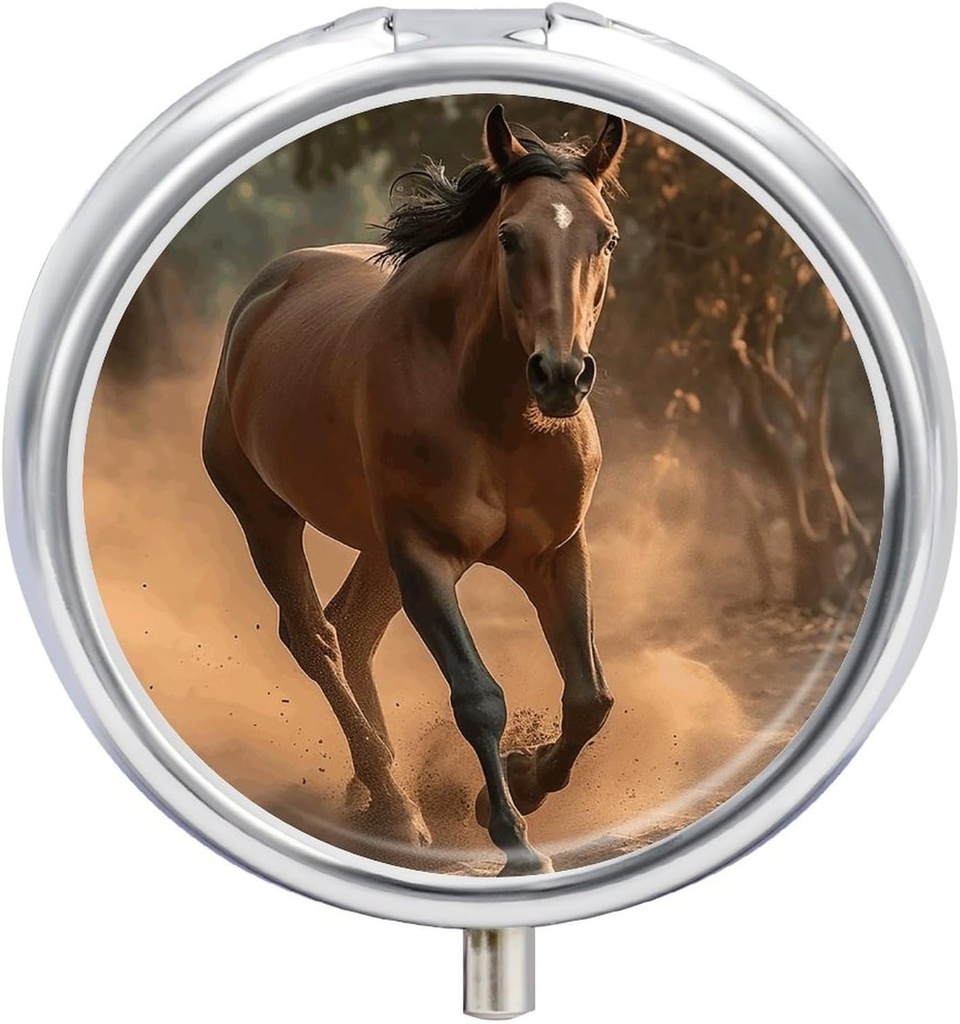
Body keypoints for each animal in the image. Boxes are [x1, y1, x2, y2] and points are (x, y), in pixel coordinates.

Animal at [202, 104, 627, 875]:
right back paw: (398, 810)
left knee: (352, 631)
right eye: (509, 236)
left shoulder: (556, 554)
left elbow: (590, 698)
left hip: (376, 550)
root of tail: (262, 295)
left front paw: (517, 781)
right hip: (268, 517)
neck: (497, 415)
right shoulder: (425, 558)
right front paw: (514, 837)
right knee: (315, 638)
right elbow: (478, 697)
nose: (560, 375)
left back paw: (378, 794)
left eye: (605, 237)